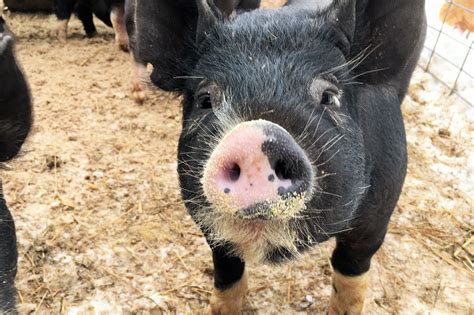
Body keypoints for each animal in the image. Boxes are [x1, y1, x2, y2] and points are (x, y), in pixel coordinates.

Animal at [129, 1, 426, 314]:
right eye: (205, 100)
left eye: (329, 97)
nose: (252, 137)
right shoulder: (211, 231)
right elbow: (227, 273)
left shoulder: (376, 216)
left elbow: (351, 275)